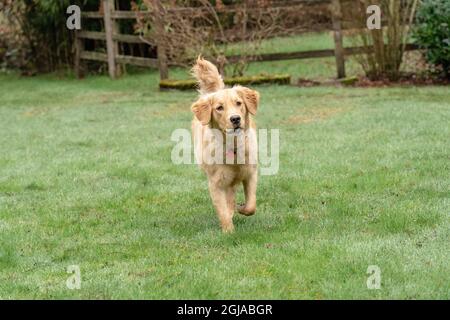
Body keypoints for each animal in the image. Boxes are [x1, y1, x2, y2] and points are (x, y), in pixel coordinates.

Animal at [191, 57, 260, 232]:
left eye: (239, 103)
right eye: (219, 108)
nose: (235, 119)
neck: (232, 146)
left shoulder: (250, 173)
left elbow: (251, 205)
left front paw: (242, 209)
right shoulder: (216, 183)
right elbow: (222, 210)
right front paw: (228, 231)